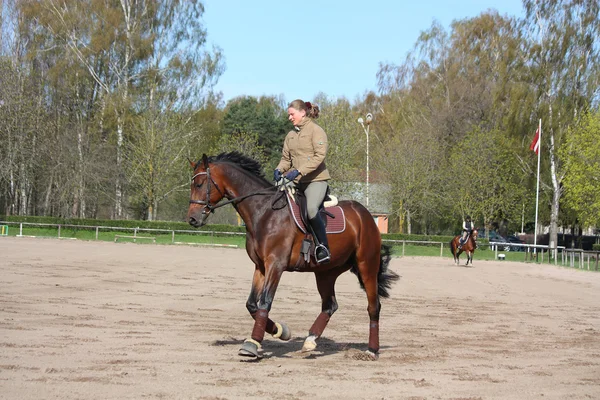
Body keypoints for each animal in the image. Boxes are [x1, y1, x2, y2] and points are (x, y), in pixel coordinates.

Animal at [188, 152, 398, 360]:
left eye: (199, 184)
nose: (192, 219)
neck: (264, 212)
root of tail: (365, 214)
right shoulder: (261, 267)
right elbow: (252, 305)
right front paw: (281, 331)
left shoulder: (275, 265)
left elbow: (265, 302)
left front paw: (252, 345)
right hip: (326, 272)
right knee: (329, 305)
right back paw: (310, 342)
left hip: (366, 266)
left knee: (373, 306)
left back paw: (371, 350)